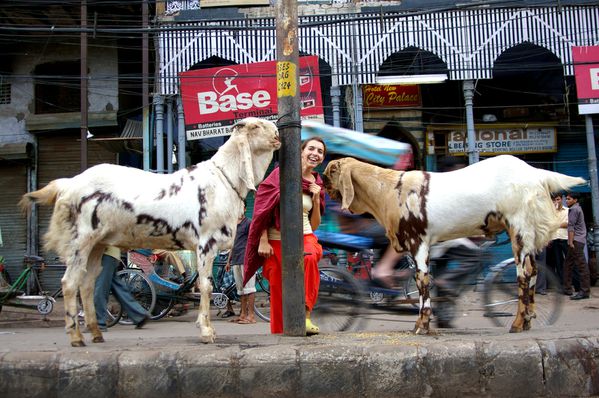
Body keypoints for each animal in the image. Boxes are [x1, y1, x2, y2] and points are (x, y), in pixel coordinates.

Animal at [19, 117, 282, 346]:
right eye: (255, 126)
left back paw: (95, 332)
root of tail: (68, 184)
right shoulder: (206, 242)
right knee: (70, 283)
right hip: (80, 240)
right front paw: (207, 332)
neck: (222, 178)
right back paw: (76, 337)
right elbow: (206, 286)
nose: (278, 134)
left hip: (97, 244)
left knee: (87, 284)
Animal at [326, 155, 588, 332]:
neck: (389, 190)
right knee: (532, 272)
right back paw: (526, 322)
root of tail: (536, 174)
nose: (322, 186)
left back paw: (516, 323)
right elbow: (424, 281)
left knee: (523, 274)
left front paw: (422, 325)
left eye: (330, 172)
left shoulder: (418, 241)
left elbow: (422, 281)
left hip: (520, 227)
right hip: (528, 233)